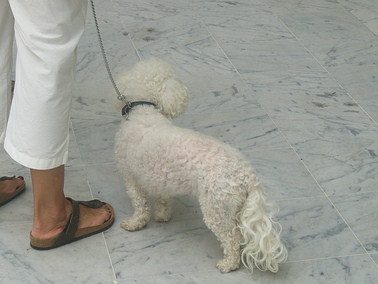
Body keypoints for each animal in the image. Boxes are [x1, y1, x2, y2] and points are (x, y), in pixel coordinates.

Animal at [113, 57, 288, 272]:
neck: (144, 111)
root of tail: (247, 175)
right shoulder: (161, 179)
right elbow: (163, 200)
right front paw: (162, 216)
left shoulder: (131, 177)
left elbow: (140, 204)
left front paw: (135, 223)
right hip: (233, 207)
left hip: (215, 208)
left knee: (231, 237)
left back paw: (228, 264)